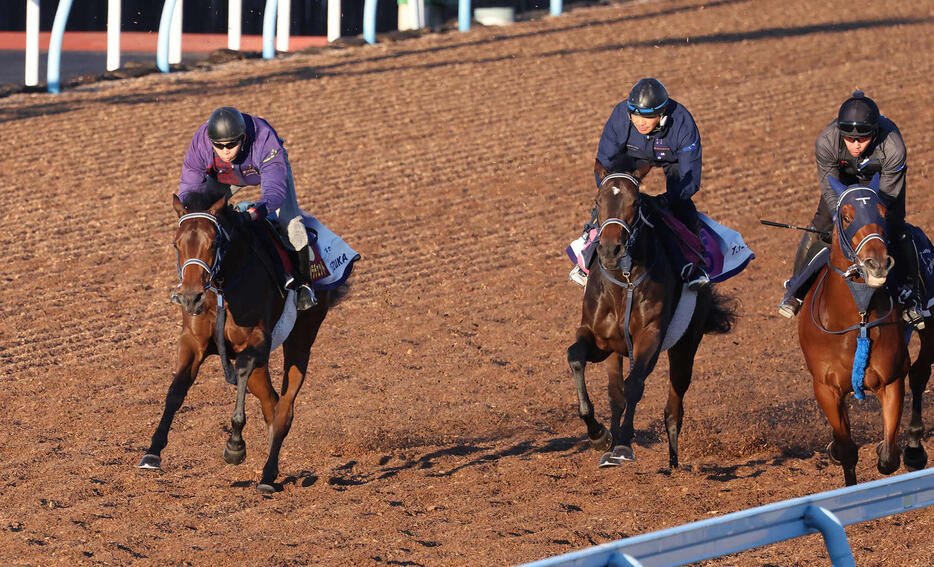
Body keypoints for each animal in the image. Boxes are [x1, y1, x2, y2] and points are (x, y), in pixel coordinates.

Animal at [141, 191, 338, 492]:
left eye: (214, 243)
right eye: (176, 243)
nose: (190, 296)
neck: (223, 288)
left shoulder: (257, 341)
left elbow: (242, 370)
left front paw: (234, 446)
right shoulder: (192, 342)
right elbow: (175, 391)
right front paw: (152, 452)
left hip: (301, 339)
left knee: (285, 408)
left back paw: (267, 476)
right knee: (271, 402)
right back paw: (272, 468)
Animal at [800, 175, 916, 486]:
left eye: (883, 213)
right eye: (846, 216)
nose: (877, 263)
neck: (857, 319)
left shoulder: (892, 380)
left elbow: (888, 458)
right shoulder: (826, 389)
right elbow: (847, 450)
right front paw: (836, 451)